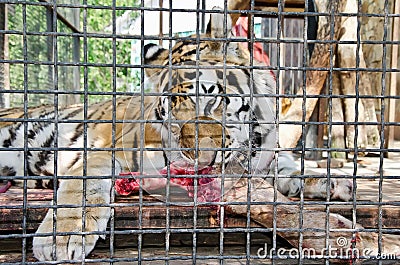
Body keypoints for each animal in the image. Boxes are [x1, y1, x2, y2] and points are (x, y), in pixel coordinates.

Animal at [0, 8, 352, 260]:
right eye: (171, 115)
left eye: (210, 97)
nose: (197, 156)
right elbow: (85, 186)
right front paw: (61, 237)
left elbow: (289, 168)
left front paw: (331, 182)